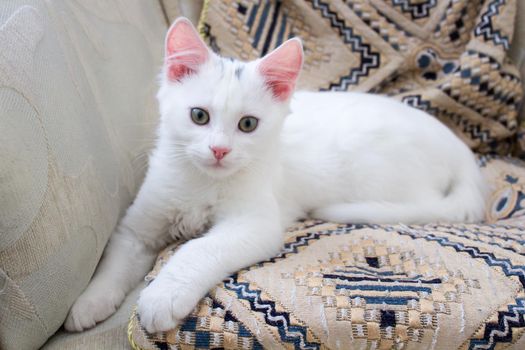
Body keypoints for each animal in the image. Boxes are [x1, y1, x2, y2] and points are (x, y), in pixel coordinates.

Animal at [65, 17, 488, 334]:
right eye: (199, 116)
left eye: (248, 124)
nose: (219, 150)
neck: (203, 182)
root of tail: (458, 147)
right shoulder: (137, 226)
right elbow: (115, 261)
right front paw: (87, 303)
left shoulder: (256, 224)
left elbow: (197, 248)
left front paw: (162, 295)